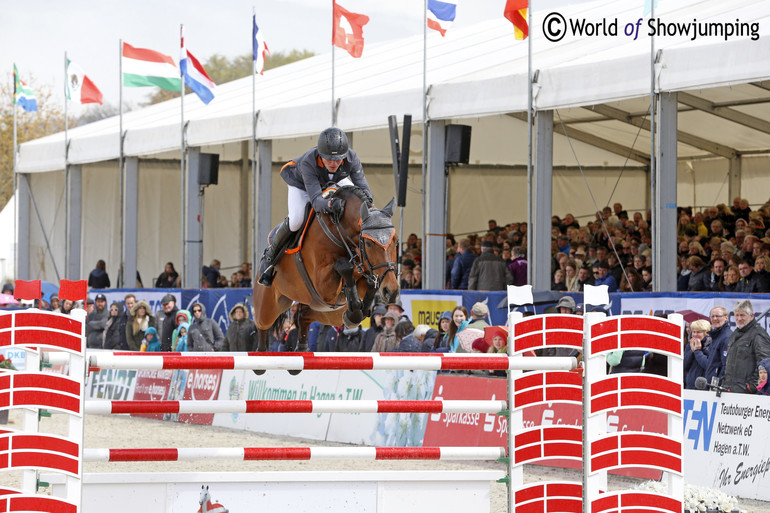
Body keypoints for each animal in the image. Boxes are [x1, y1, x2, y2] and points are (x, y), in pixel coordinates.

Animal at [254, 186, 400, 362]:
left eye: (396, 240)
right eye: (369, 243)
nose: (391, 291)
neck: (340, 231)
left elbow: (368, 282)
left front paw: (358, 310)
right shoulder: (324, 285)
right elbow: (345, 266)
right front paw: (355, 309)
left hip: (329, 312)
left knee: (303, 316)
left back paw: (303, 348)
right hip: (268, 306)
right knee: (262, 327)